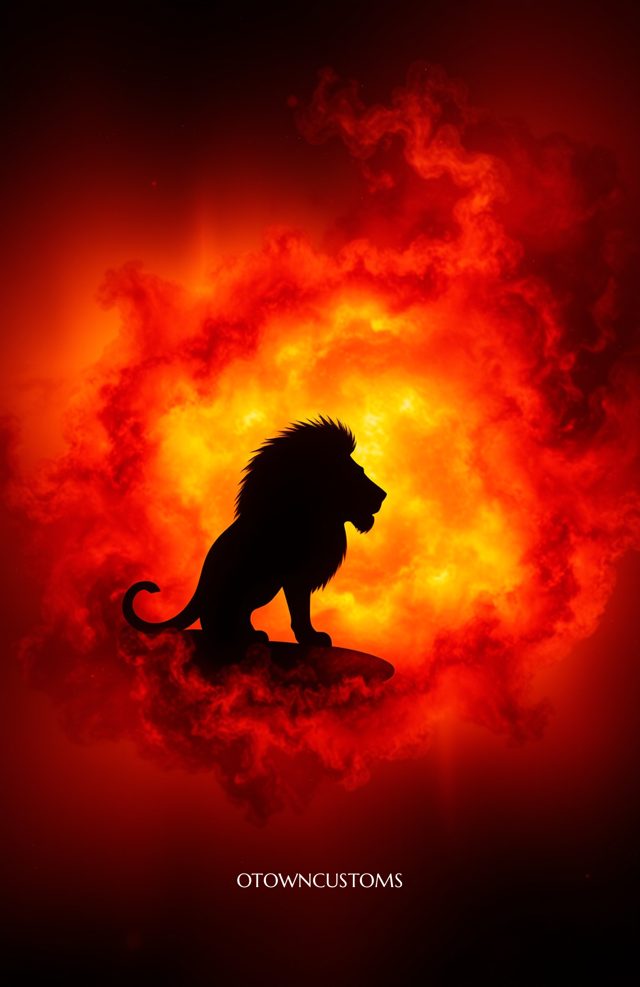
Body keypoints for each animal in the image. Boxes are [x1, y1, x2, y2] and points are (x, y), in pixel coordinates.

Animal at [122, 417, 386, 647]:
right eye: (357, 473)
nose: (383, 495)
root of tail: (201, 588)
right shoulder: (296, 577)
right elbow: (300, 611)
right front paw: (312, 638)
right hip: (260, 586)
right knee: (218, 619)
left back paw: (252, 635)